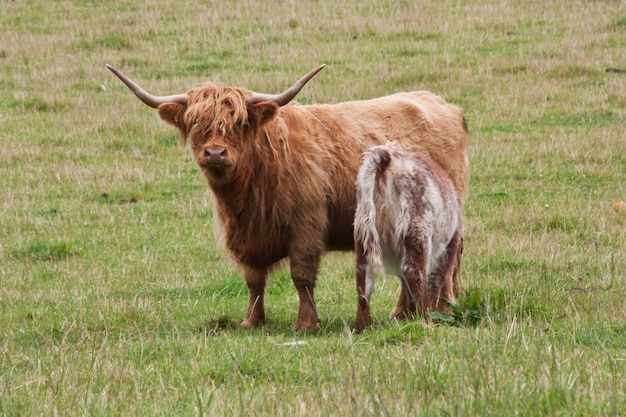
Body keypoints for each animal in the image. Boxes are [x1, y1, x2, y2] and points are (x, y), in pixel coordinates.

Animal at [354, 145, 460, 330]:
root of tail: (386, 158)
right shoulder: (446, 249)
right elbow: (434, 281)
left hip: (363, 230)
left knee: (363, 275)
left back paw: (363, 326)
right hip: (416, 227)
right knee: (414, 271)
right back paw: (425, 320)